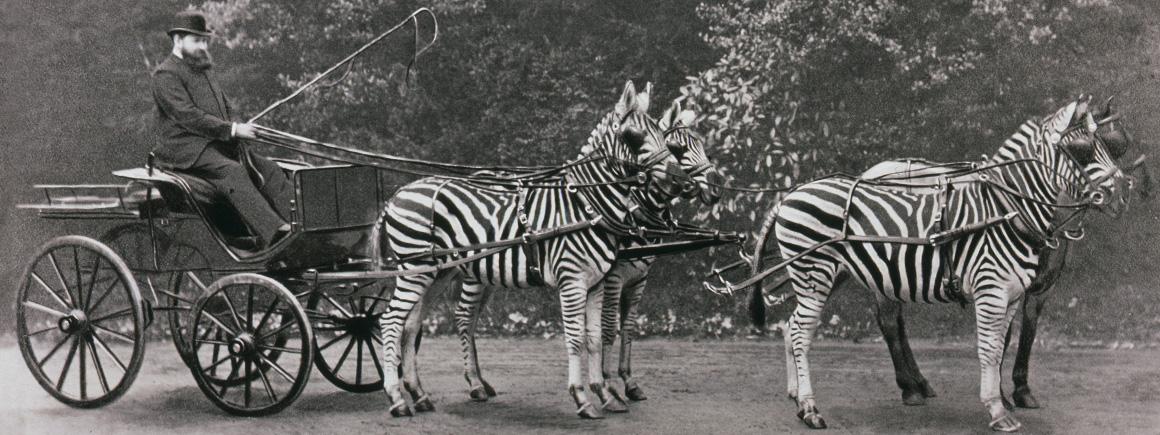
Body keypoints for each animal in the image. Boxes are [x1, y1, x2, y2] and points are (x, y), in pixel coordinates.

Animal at [375, 81, 691, 419]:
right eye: (633, 136)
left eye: (664, 137)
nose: (678, 180)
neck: (586, 206)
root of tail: (397, 195)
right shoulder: (572, 281)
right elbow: (575, 339)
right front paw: (582, 398)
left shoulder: (597, 283)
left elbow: (593, 339)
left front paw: (606, 395)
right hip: (415, 269)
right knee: (391, 321)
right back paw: (397, 398)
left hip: (436, 273)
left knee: (410, 325)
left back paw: (419, 394)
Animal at [447, 98, 719, 406]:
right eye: (677, 147)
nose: (715, 189)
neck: (632, 209)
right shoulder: (611, 277)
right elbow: (607, 328)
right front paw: (609, 385)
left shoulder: (638, 280)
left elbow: (628, 328)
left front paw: (628, 383)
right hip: (474, 273)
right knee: (464, 317)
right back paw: (474, 383)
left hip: (489, 273)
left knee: (473, 319)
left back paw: (481, 381)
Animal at [742, 96, 1141, 410]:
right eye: (1082, 150)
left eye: (1116, 144)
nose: (1122, 193)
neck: (1012, 206)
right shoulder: (1004, 280)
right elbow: (1004, 338)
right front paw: (1005, 394)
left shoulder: (1038, 287)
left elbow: (1023, 332)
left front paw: (1018, 391)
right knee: (886, 321)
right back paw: (908, 388)